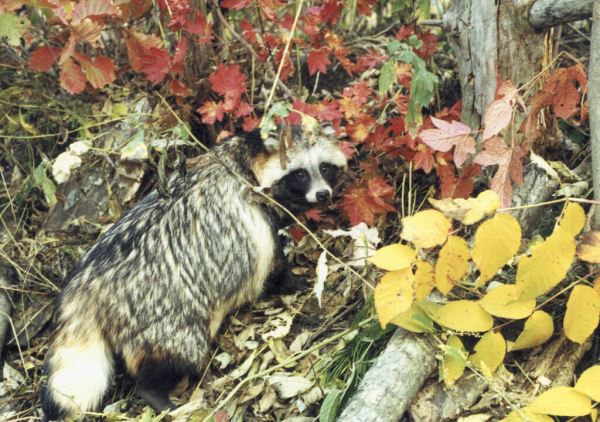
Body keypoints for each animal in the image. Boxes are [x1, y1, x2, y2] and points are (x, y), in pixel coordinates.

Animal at [39, 124, 346, 418]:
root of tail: (87, 284)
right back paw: (156, 393)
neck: (244, 157)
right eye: (300, 174)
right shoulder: (257, 217)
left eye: (325, 167)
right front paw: (297, 282)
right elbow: (274, 266)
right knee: (176, 354)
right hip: (164, 318)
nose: (323, 194)